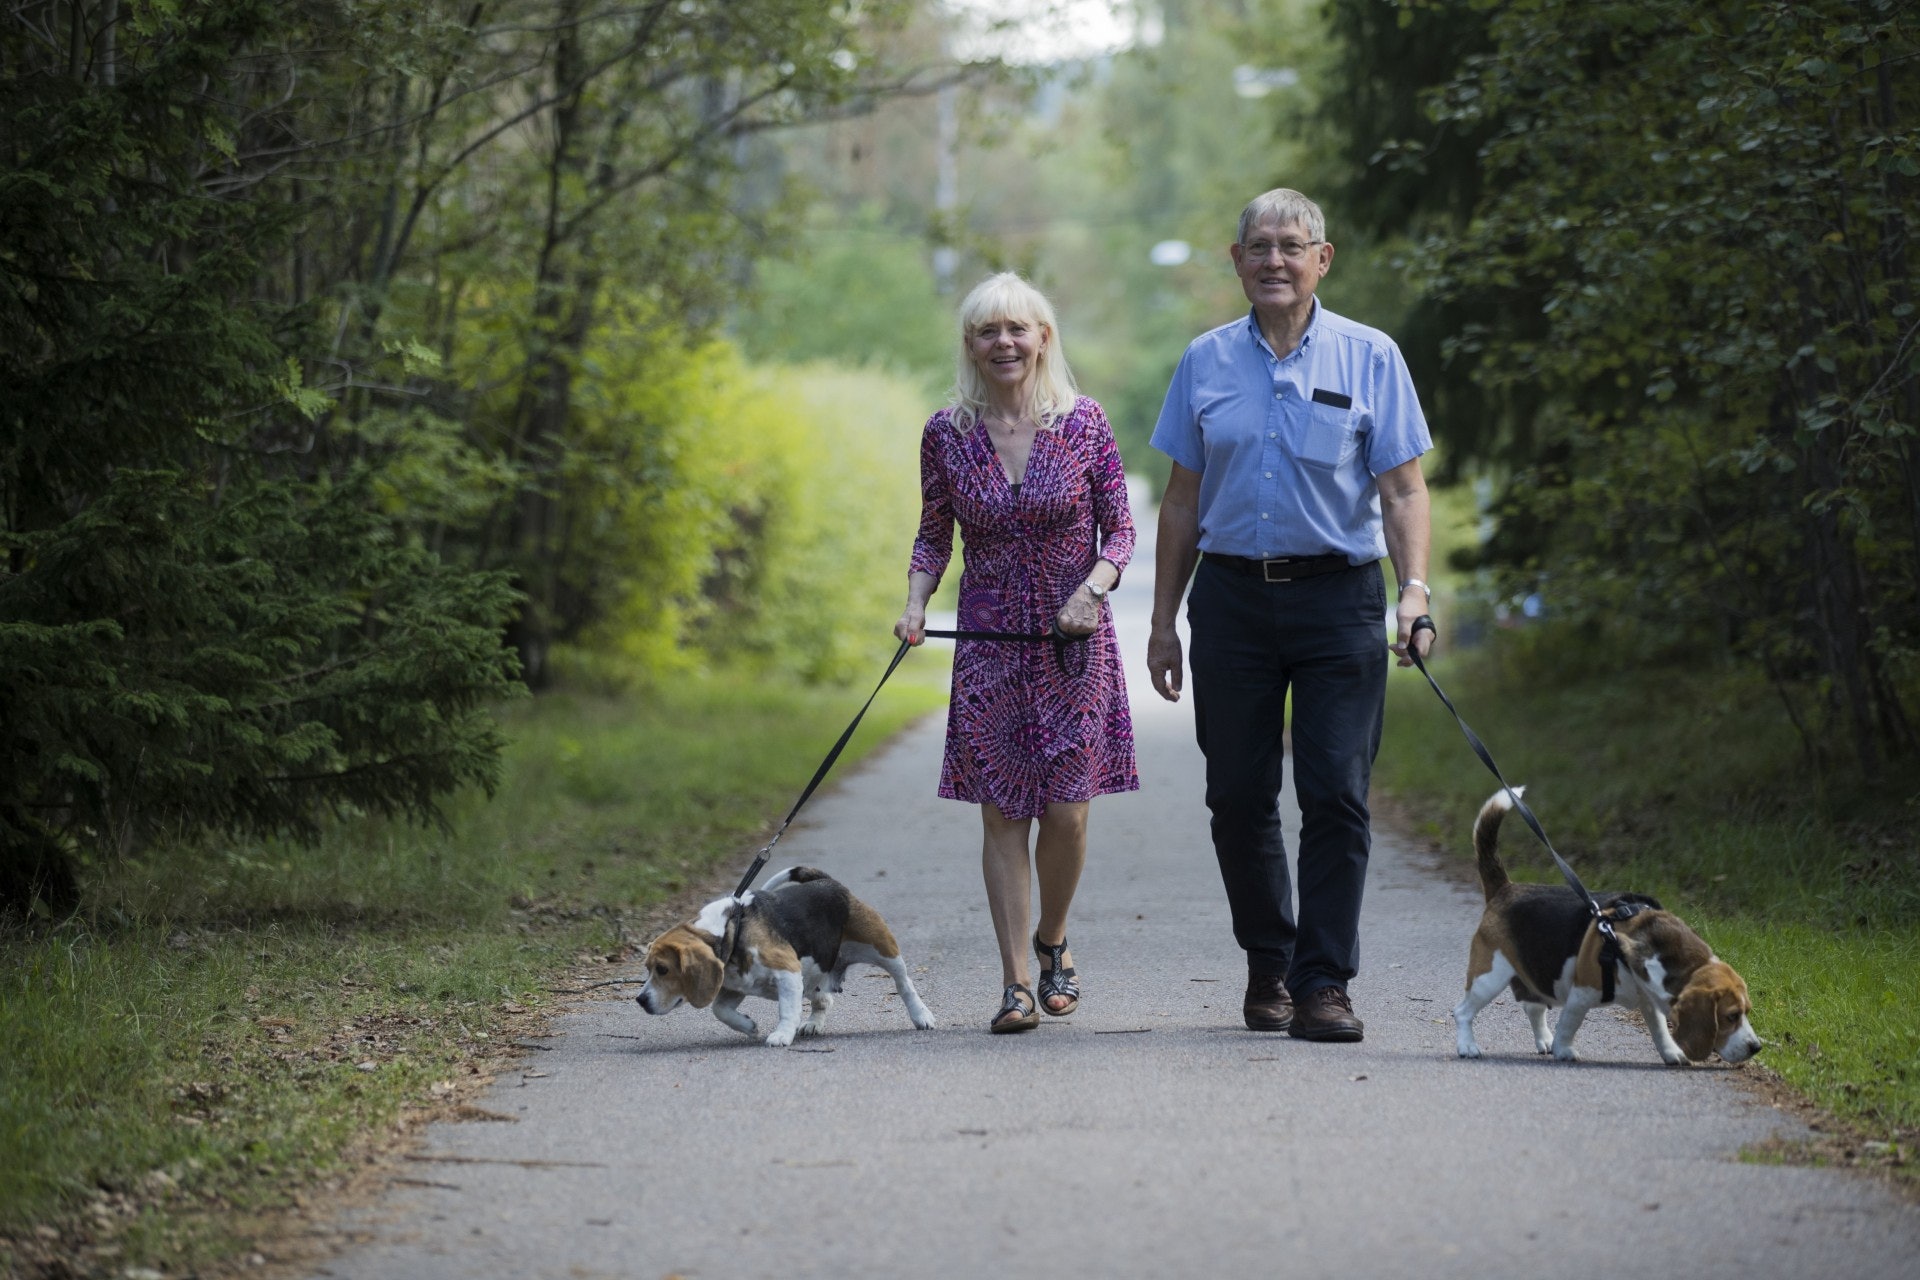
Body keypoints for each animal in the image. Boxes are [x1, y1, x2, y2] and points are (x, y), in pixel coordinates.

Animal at [633, 867, 933, 1043]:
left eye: (663, 969)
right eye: (648, 968)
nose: (640, 1000)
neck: (732, 930)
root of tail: (827, 881)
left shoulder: (787, 972)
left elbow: (787, 1010)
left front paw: (781, 1034)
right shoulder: (735, 985)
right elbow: (720, 1010)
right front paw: (748, 1026)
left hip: (883, 948)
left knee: (904, 984)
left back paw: (922, 1015)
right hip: (811, 976)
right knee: (824, 1000)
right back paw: (812, 1024)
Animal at [1451, 786, 1758, 1066]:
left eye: (1747, 1012)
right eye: (1731, 1016)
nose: (1756, 1048)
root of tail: (1506, 888)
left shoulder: (1649, 999)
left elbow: (1660, 1031)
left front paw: (1672, 1053)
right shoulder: (1582, 992)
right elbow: (1570, 1024)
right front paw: (1565, 1050)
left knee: (1533, 1008)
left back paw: (1545, 1041)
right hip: (1488, 977)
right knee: (1463, 1011)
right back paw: (1468, 1046)